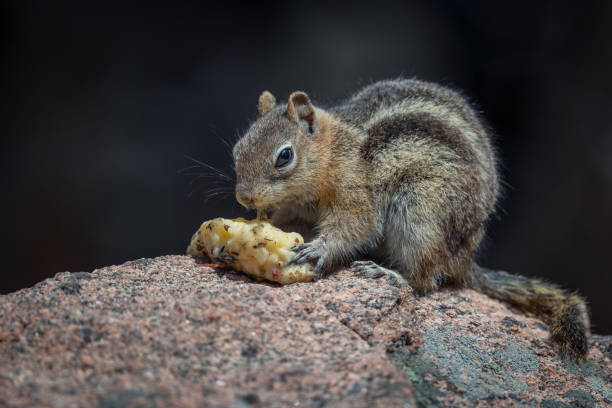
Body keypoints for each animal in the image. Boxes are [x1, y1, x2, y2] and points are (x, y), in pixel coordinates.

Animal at [230, 78, 588, 358]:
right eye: (237, 149)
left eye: (284, 156)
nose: (244, 198)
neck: (334, 153)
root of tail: (465, 261)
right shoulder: (296, 208)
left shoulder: (357, 192)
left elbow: (356, 226)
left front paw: (318, 249)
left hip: (421, 216)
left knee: (425, 281)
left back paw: (389, 274)